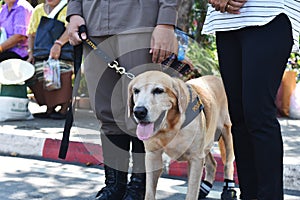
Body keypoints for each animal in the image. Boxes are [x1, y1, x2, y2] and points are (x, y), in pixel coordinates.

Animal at [127, 71, 236, 199]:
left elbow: (191, 193)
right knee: (212, 164)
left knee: (228, 163)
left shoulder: (195, 159)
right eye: (136, 91)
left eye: (158, 90)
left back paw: (229, 190)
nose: (139, 111)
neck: (170, 126)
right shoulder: (152, 156)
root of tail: (216, 78)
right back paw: (204, 188)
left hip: (226, 131)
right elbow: (149, 193)